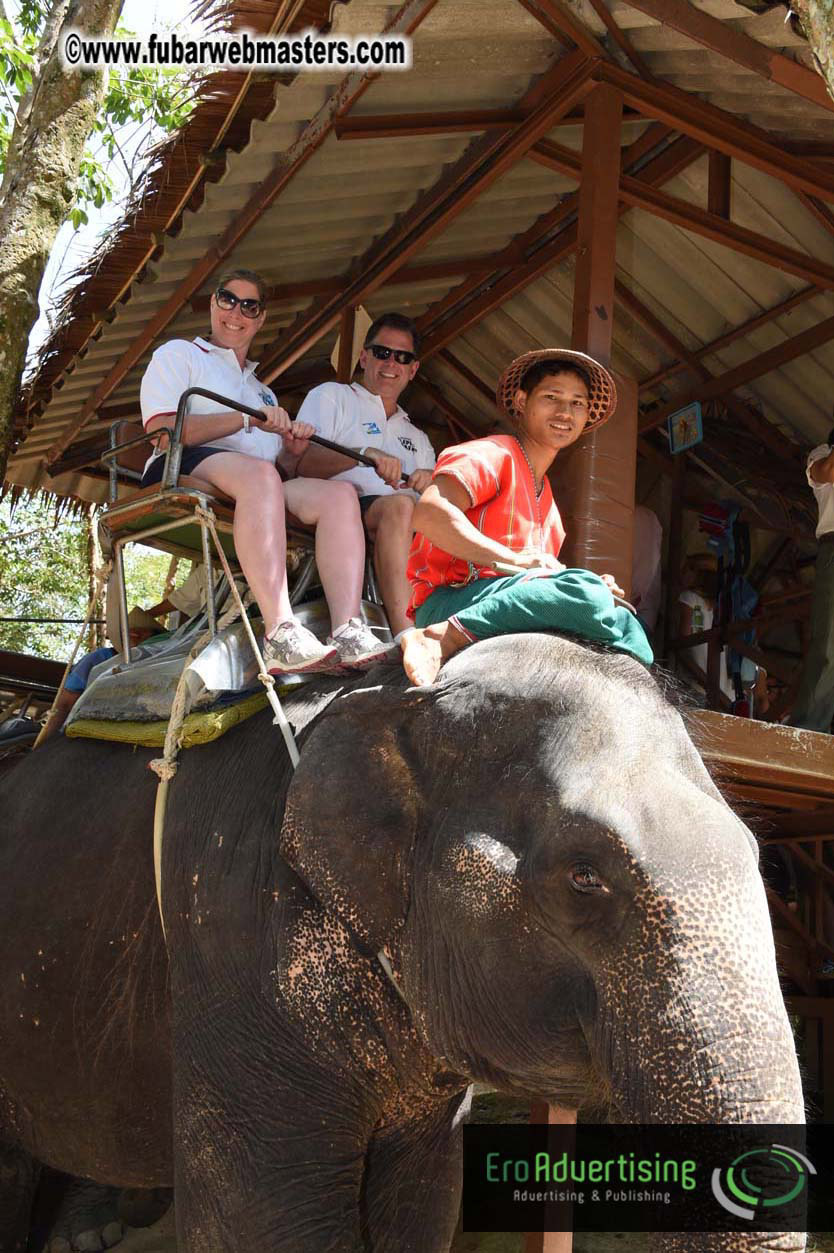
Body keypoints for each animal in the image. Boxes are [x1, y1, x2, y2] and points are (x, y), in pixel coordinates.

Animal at [0, 632, 806, 1252]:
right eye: (584, 876)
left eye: (758, 857)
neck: (399, 696)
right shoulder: (232, 940)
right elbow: (263, 1227)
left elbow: (423, 1209)